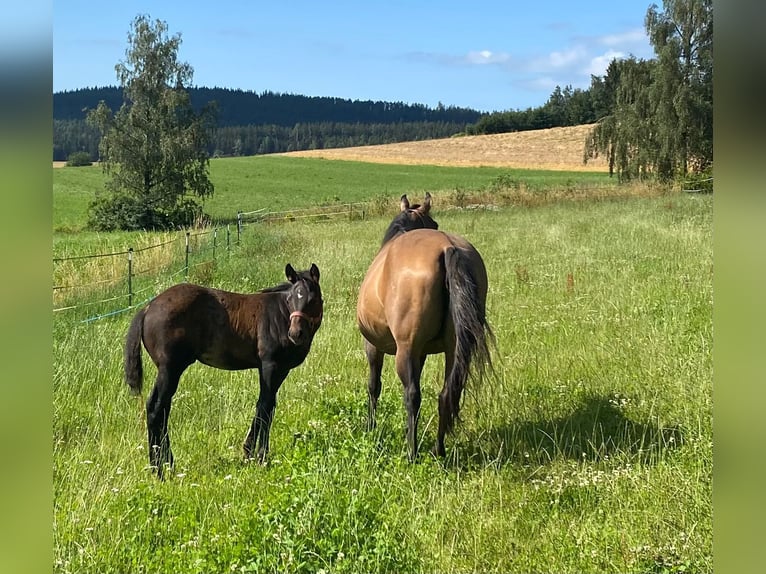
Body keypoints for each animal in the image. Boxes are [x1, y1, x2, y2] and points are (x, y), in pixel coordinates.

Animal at [124, 264, 322, 476]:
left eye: (312, 299)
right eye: (291, 299)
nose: (295, 334)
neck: (280, 316)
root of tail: (147, 308)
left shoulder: (281, 369)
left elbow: (266, 406)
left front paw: (250, 452)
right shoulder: (270, 365)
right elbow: (265, 407)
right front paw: (260, 457)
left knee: (163, 409)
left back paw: (168, 463)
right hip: (170, 368)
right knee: (156, 408)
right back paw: (158, 470)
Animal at [356, 195, 496, 464]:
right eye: (435, 222)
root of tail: (448, 248)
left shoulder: (374, 347)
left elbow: (373, 386)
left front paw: (370, 427)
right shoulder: (421, 353)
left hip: (405, 350)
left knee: (412, 395)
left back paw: (412, 453)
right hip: (454, 348)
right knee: (447, 394)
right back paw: (438, 450)